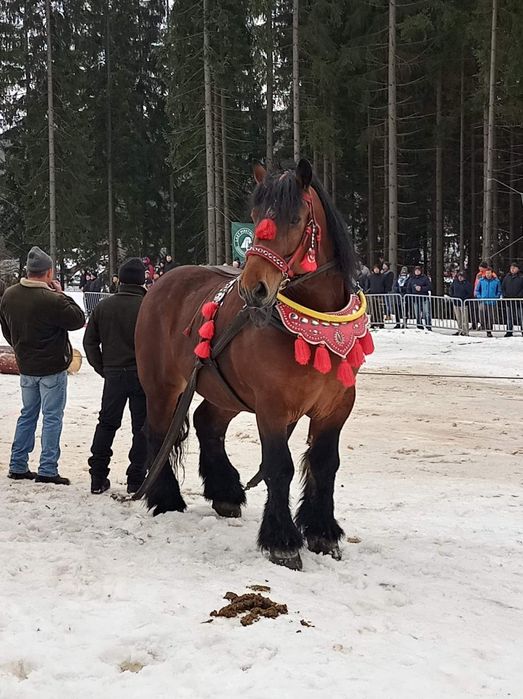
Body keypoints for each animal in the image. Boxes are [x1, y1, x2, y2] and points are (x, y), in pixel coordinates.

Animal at [135, 159, 372, 568]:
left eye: (295, 218)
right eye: (257, 217)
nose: (253, 288)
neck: (317, 325)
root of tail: (162, 281)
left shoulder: (337, 405)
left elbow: (325, 463)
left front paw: (323, 533)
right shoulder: (272, 406)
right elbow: (279, 467)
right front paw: (282, 541)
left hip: (224, 391)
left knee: (207, 424)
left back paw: (225, 492)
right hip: (163, 386)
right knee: (158, 433)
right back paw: (165, 499)